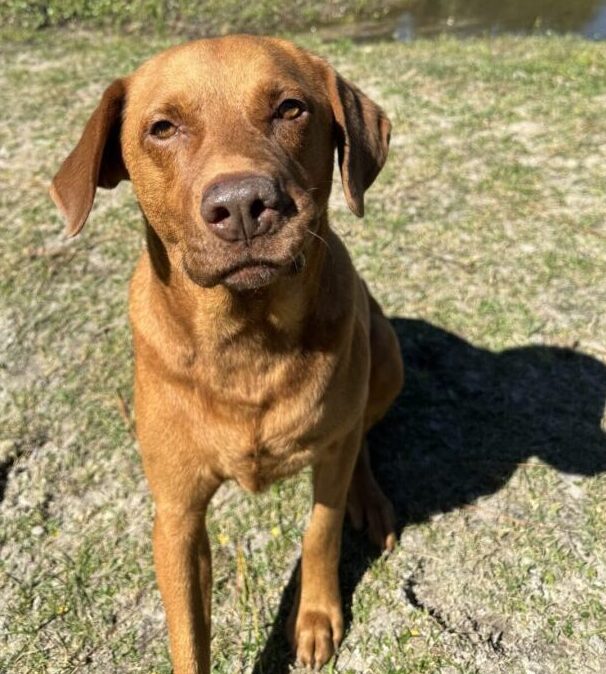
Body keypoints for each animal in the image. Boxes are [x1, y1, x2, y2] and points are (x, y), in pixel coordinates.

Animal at [51, 38, 404, 672]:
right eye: (163, 128)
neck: (247, 340)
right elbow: (189, 634)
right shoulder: (177, 516)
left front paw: (315, 616)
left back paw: (369, 497)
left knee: (359, 434)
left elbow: (321, 529)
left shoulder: (327, 463)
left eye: (291, 109)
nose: (243, 205)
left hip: (386, 354)